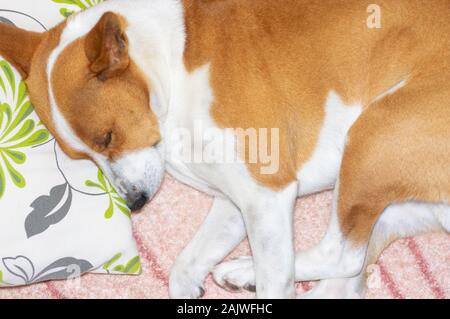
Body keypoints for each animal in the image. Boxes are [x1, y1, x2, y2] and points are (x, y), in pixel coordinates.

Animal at [0, 0, 450, 300]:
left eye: (107, 137)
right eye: (83, 158)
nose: (135, 203)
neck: (173, 58)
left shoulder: (266, 191)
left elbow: (276, 280)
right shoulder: (237, 201)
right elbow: (183, 267)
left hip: (371, 138)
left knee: (343, 256)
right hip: (393, 205)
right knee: (343, 281)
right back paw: (243, 272)